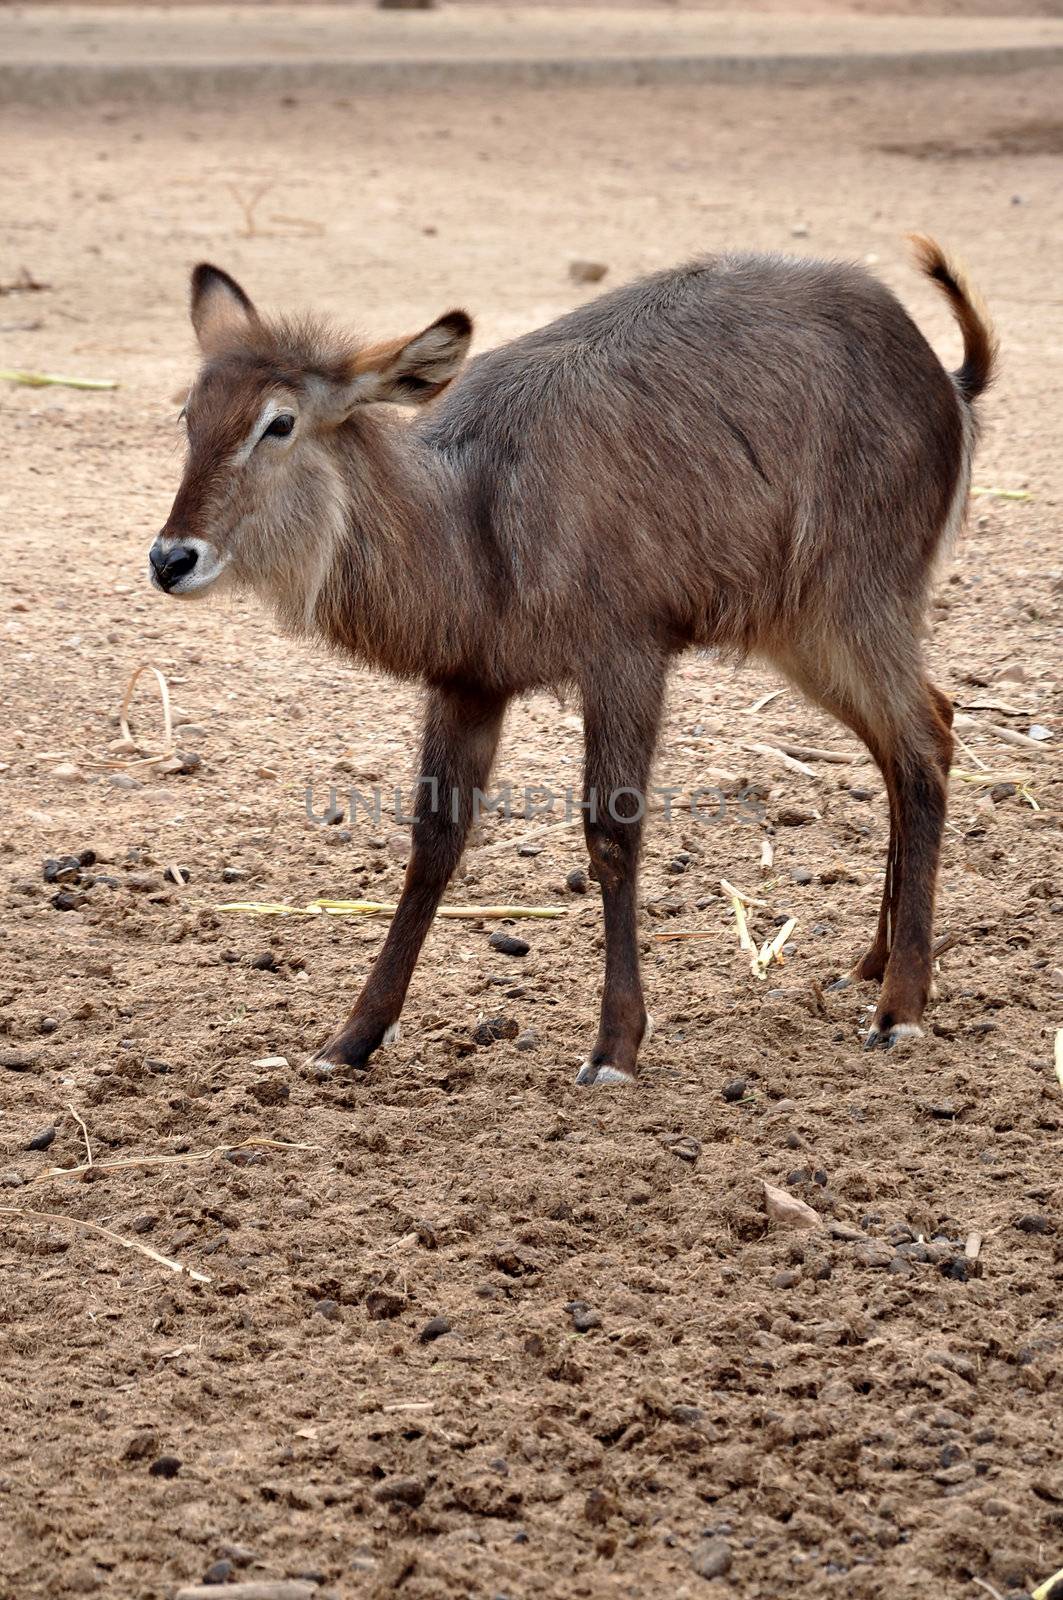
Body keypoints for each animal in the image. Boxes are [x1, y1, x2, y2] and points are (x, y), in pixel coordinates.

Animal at [151, 240, 998, 1088]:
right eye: (190, 417)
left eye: (279, 423)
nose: (170, 559)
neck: (473, 517)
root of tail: (942, 377)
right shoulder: (468, 683)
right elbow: (433, 842)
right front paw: (352, 1037)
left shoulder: (624, 657)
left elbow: (611, 833)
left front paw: (615, 1045)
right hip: (800, 631)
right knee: (922, 731)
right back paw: (870, 966)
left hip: (855, 603)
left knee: (921, 747)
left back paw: (899, 1007)